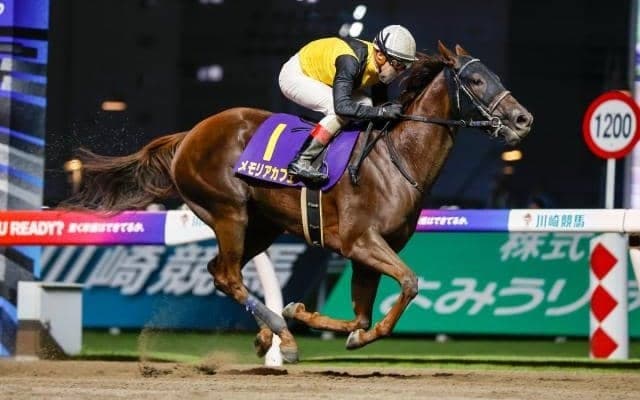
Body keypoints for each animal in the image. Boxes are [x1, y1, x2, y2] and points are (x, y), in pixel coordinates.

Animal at [65, 42, 533, 363]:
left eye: (492, 74)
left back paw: (269, 335)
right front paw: (302, 319)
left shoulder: (369, 253)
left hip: (262, 225)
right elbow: (410, 283)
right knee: (229, 275)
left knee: (219, 272)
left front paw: (325, 322)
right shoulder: (361, 242)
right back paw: (280, 333)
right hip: (228, 212)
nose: (523, 118)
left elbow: (362, 318)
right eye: (475, 80)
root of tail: (190, 134)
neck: (396, 159)